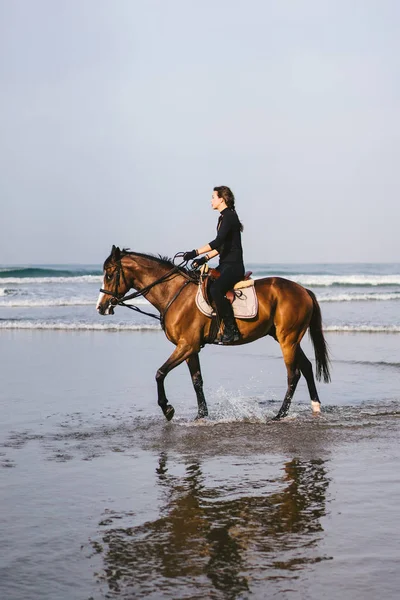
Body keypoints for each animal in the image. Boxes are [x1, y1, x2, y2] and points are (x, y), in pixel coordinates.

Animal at [97, 246, 332, 420]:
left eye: (110, 274)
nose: (101, 307)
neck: (174, 293)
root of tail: (303, 290)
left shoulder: (187, 345)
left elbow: (160, 373)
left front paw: (167, 409)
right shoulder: (190, 349)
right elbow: (197, 381)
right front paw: (201, 415)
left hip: (287, 340)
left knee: (293, 374)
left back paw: (280, 414)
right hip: (287, 339)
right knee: (307, 367)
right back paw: (315, 406)